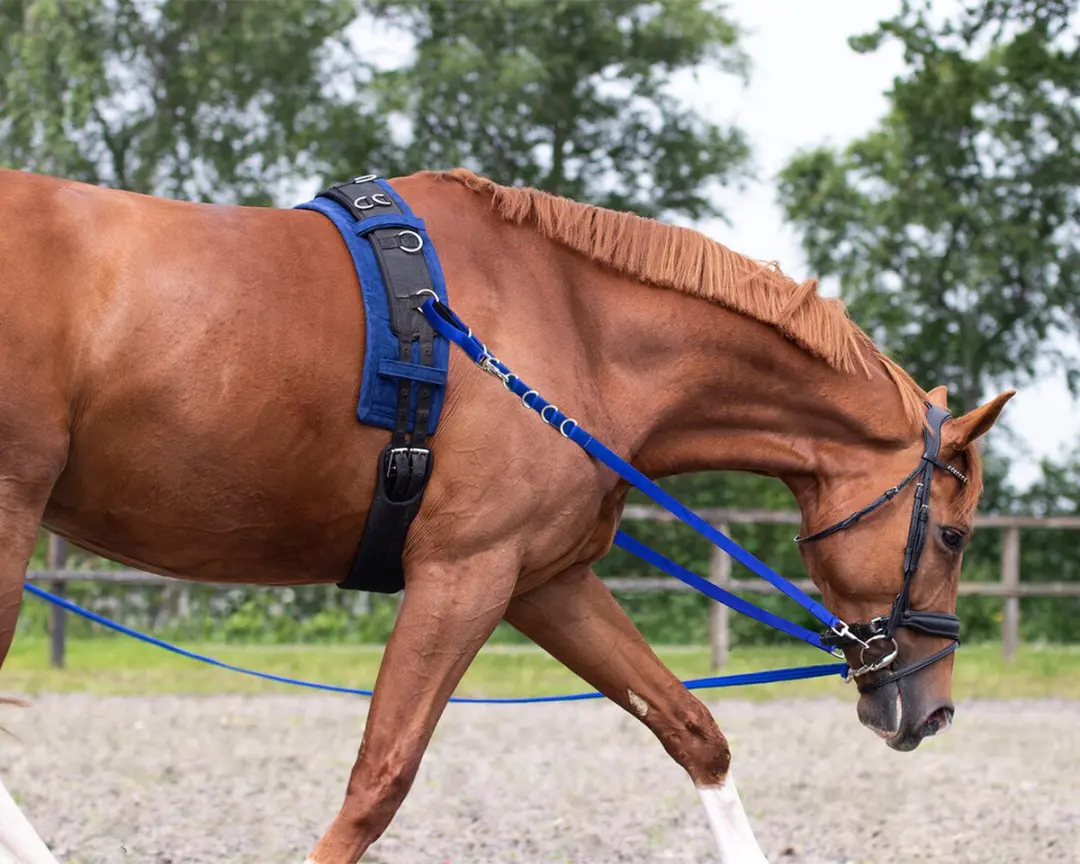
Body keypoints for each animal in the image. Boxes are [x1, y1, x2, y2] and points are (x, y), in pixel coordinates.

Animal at [0, 165, 1012, 864]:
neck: (577, 335)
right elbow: (379, 779)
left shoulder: (544, 582)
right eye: (953, 534)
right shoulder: (465, 575)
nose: (931, 711)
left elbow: (695, 732)